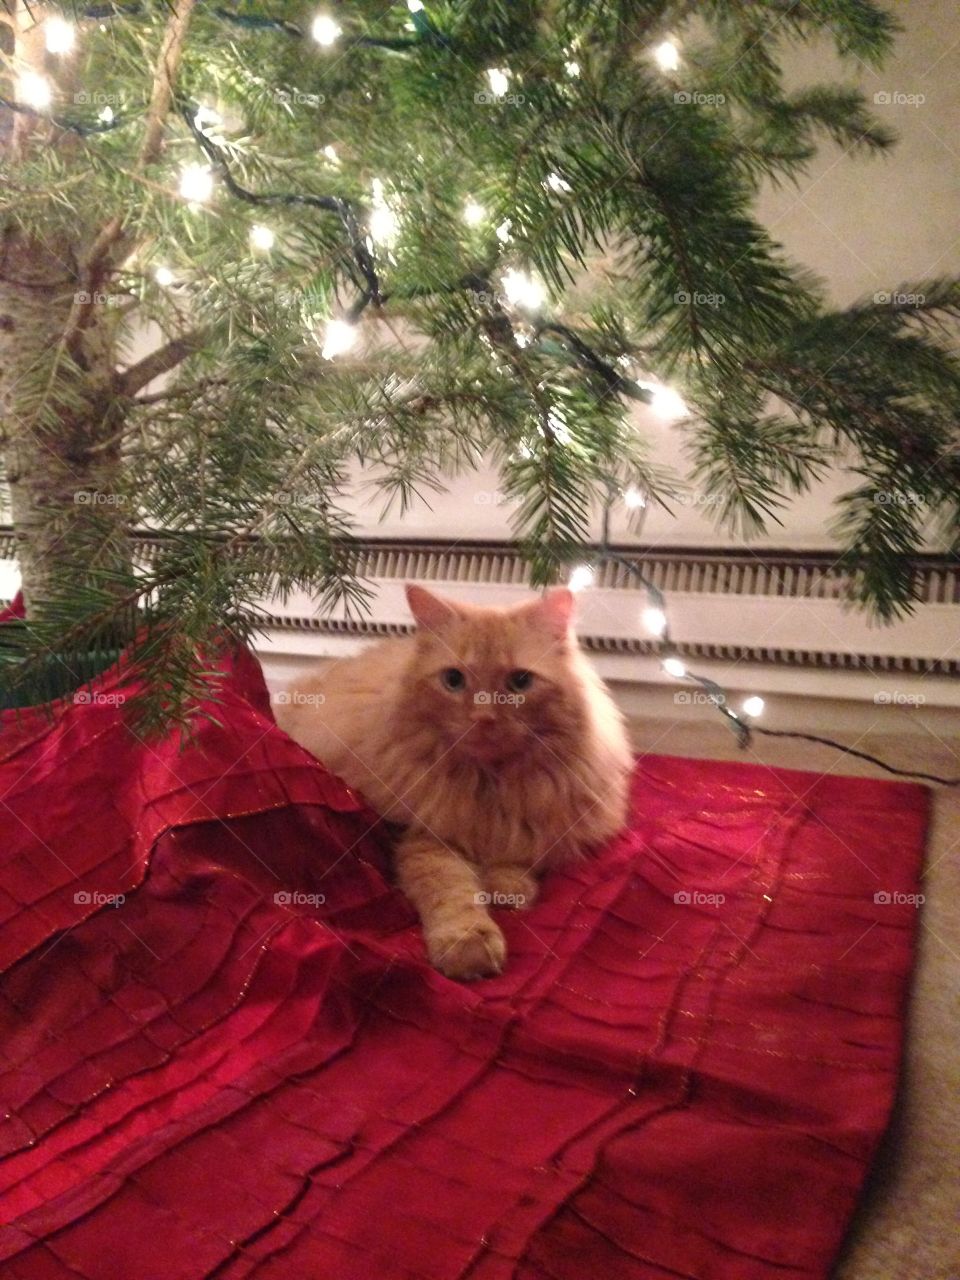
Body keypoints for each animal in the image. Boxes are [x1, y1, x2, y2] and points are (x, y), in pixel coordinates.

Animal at [276, 586, 640, 977]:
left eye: (520, 682)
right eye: (453, 680)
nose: (483, 717)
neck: (490, 785)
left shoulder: (538, 822)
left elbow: (518, 852)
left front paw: (508, 887)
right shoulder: (423, 835)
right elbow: (451, 888)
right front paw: (468, 944)